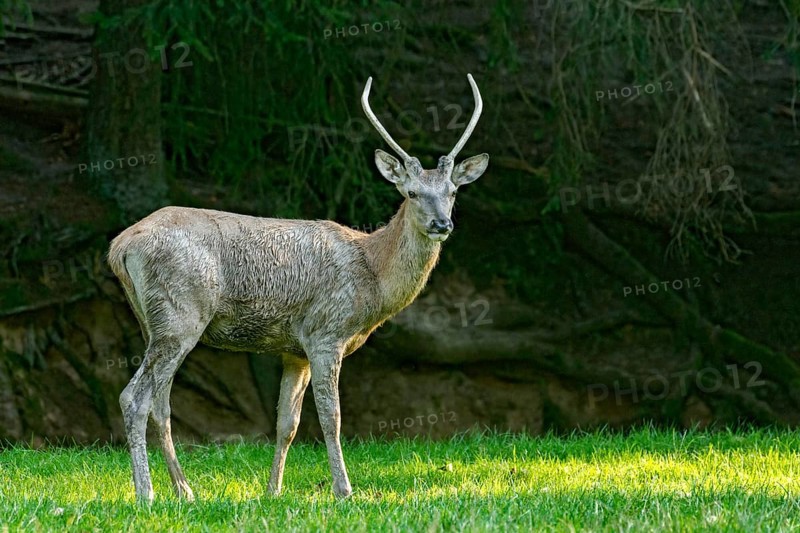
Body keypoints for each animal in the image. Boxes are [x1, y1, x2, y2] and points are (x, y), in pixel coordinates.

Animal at [107, 74, 489, 503]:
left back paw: (185, 491)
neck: (372, 275)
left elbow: (286, 423)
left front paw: (272, 490)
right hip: (180, 315)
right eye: (411, 193)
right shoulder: (326, 332)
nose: (442, 224)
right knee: (135, 398)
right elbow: (331, 418)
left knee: (161, 403)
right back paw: (147, 494)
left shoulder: (295, 350)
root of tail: (119, 247)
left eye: (453, 192)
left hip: (152, 321)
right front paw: (344, 490)